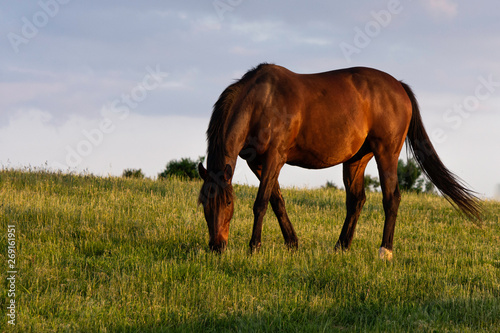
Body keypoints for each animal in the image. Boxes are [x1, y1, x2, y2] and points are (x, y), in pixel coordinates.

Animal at [197, 63, 478, 258]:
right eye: (204, 204)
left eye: (228, 202)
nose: (217, 246)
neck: (262, 101)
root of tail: (399, 86)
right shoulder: (256, 163)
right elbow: (277, 201)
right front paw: (292, 243)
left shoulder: (275, 157)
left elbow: (261, 202)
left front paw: (254, 247)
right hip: (356, 159)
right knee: (357, 200)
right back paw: (341, 247)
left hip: (386, 153)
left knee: (391, 198)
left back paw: (385, 251)